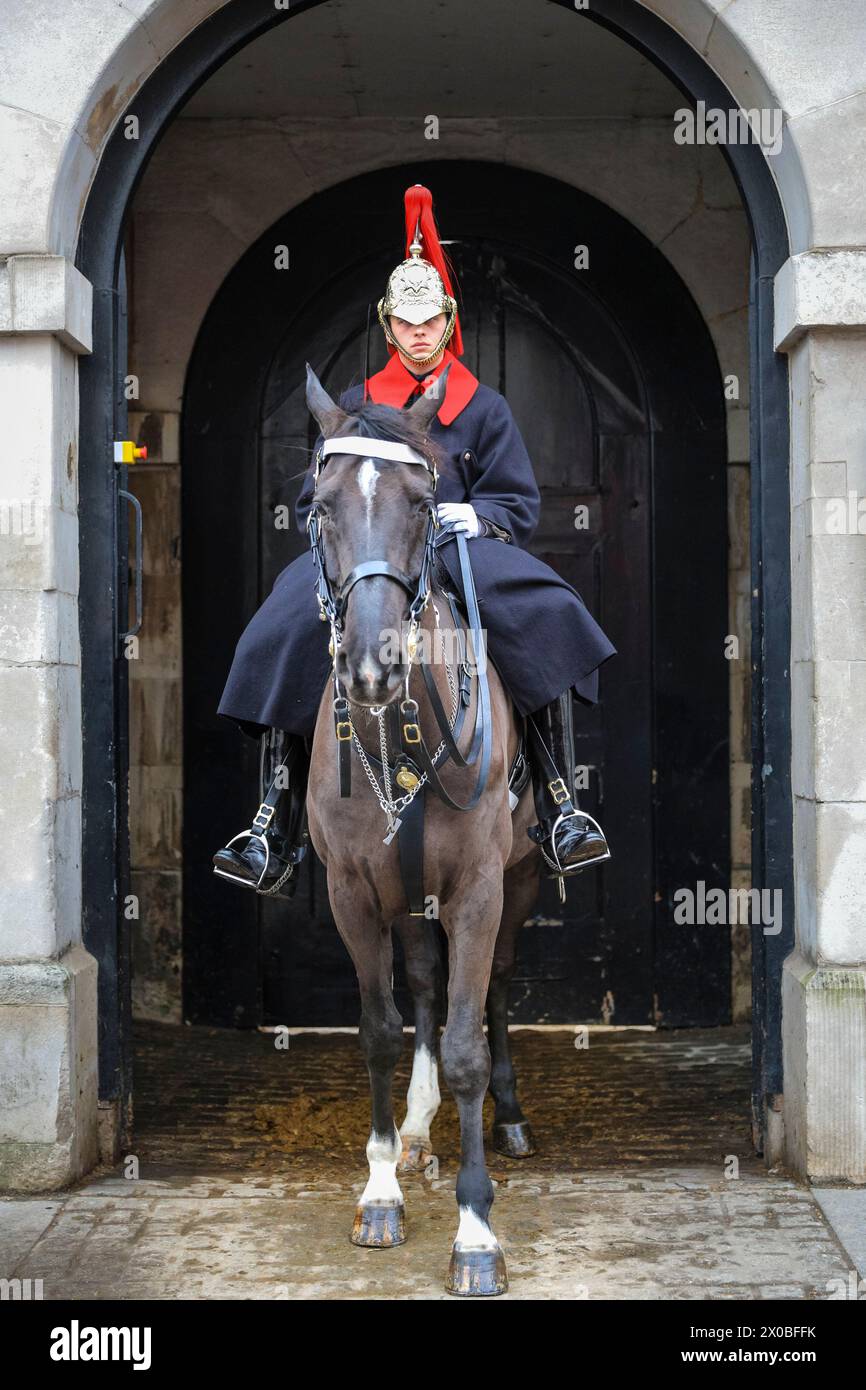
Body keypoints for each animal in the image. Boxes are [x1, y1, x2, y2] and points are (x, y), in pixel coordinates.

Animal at [301, 364, 539, 1295]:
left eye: (423, 501)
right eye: (321, 504)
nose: (373, 667)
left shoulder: (476, 889)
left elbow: (470, 1039)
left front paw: (476, 1232)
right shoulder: (354, 894)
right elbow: (379, 1030)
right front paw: (379, 1193)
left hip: (517, 884)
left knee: (496, 990)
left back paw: (506, 1116)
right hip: (406, 896)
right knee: (430, 987)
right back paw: (413, 1127)